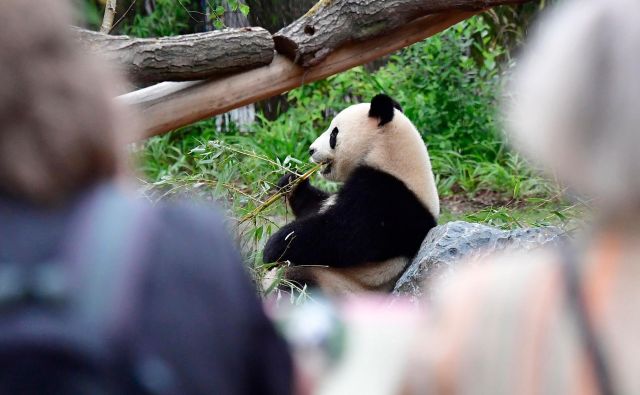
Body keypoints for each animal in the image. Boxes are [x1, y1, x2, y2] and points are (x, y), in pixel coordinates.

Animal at [262, 94, 440, 296]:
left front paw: (273, 247)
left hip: (335, 284)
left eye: (334, 133)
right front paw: (292, 181)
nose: (311, 150)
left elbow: (340, 235)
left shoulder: (387, 198)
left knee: (295, 287)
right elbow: (315, 205)